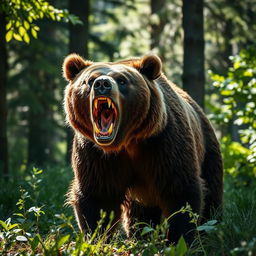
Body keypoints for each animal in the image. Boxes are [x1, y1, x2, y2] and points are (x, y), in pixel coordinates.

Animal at [62, 54, 222, 244]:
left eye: (122, 80)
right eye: (89, 80)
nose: (102, 84)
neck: (126, 143)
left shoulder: (164, 143)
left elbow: (180, 192)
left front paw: (180, 239)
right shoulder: (95, 154)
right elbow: (97, 196)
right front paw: (96, 237)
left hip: (207, 150)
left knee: (212, 195)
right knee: (139, 214)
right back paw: (140, 236)